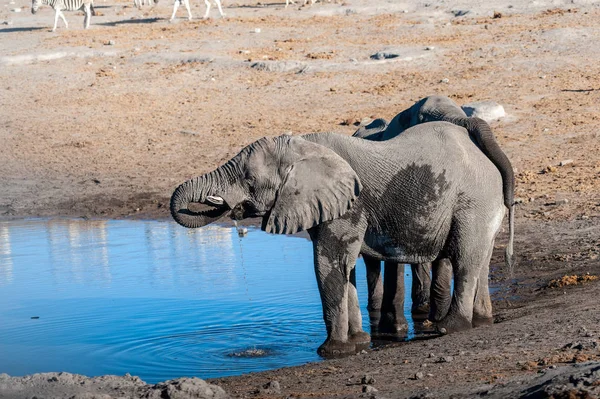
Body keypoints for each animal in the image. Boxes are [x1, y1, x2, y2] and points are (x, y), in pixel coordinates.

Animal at [170, 124, 506, 356]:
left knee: (465, 260)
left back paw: (451, 327)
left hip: (472, 201)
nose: (230, 206)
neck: (305, 145)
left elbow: (327, 263)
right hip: (484, 202)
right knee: (481, 260)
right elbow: (346, 270)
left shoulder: (350, 205)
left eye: (249, 180)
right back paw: (482, 320)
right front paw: (359, 342)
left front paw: (331, 351)